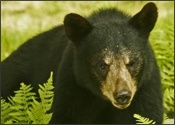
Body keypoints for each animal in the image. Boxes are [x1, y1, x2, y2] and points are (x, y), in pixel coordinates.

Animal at [1, 2, 163, 124]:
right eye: (102, 65)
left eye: (132, 62)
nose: (123, 95)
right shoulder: (73, 85)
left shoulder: (146, 88)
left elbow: (147, 114)